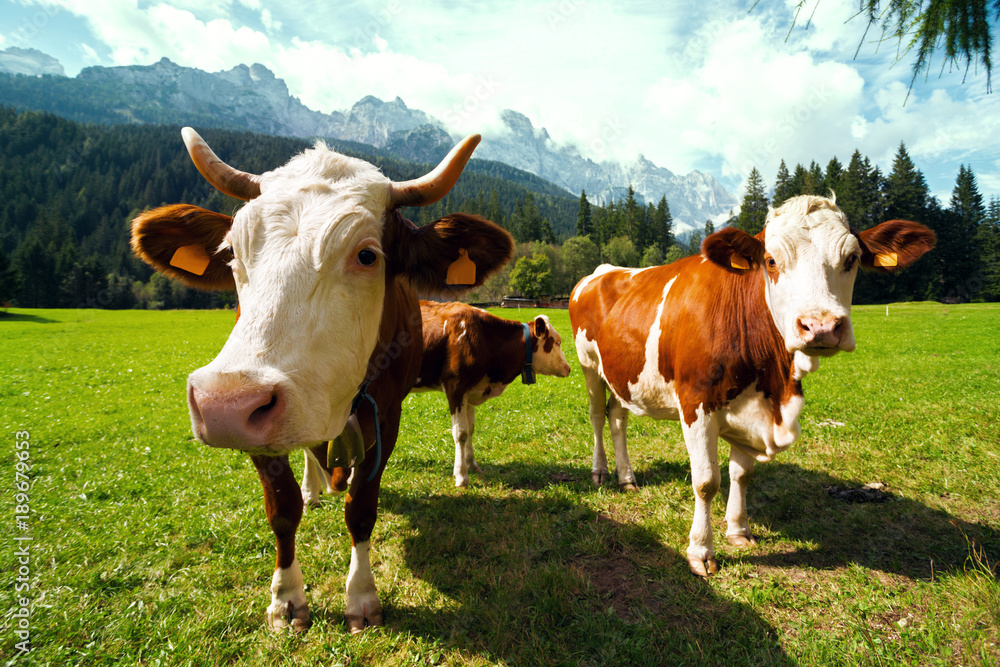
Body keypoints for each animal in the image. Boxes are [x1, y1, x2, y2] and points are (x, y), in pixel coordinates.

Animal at [130, 128, 512, 636]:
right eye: (232, 253)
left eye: (367, 255)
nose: (222, 404)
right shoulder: (258, 427)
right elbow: (282, 509)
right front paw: (286, 599)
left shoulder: (386, 417)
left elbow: (361, 508)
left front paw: (361, 598)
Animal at [412, 302, 576, 486]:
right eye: (557, 342)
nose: (568, 368)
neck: (485, 336)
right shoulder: (455, 387)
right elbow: (460, 432)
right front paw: (461, 475)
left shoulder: (469, 391)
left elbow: (470, 429)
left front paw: (472, 465)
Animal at [572, 194, 936, 580]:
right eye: (771, 261)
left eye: (851, 259)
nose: (821, 326)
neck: (774, 381)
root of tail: (604, 270)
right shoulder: (696, 404)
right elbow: (706, 481)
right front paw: (701, 551)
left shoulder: (752, 408)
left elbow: (741, 473)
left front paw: (738, 530)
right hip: (589, 365)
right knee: (597, 415)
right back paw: (600, 471)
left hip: (621, 374)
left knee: (617, 418)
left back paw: (627, 477)